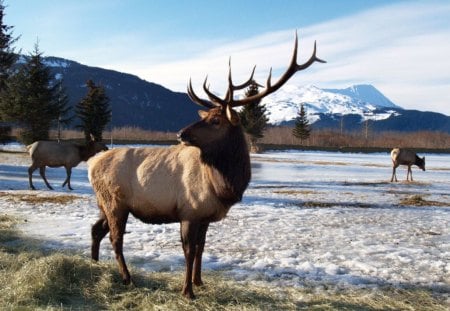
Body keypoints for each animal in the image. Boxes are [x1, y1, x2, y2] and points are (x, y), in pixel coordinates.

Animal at [86, 32, 326, 300]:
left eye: (216, 120)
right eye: (207, 117)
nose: (180, 133)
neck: (223, 186)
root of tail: (91, 163)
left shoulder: (205, 216)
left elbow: (202, 248)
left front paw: (199, 282)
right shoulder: (189, 211)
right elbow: (189, 251)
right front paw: (187, 291)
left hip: (106, 203)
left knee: (96, 229)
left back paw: (94, 264)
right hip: (115, 202)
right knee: (115, 239)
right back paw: (127, 278)